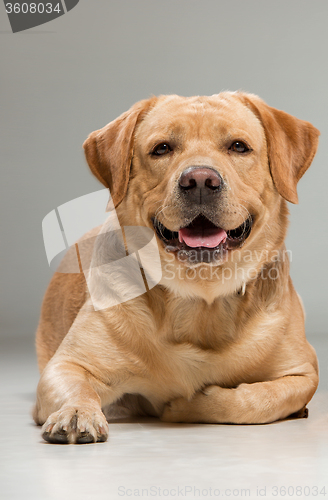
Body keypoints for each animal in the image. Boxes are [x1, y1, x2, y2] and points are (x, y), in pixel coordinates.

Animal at [33, 94, 320, 446]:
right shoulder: (67, 364)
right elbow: (76, 385)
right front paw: (76, 412)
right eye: (162, 148)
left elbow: (255, 399)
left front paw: (189, 404)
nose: (200, 181)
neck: (201, 298)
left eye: (239, 146)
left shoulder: (303, 373)